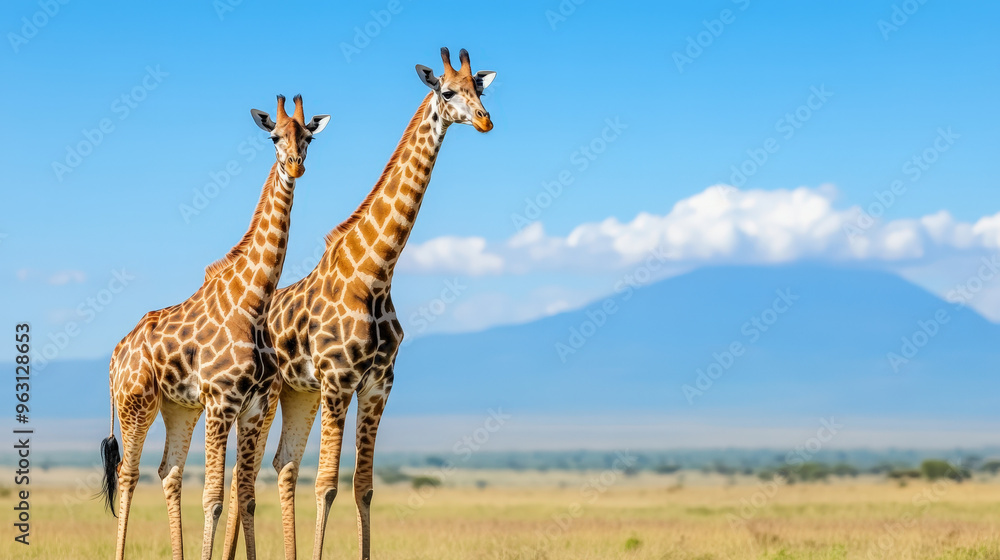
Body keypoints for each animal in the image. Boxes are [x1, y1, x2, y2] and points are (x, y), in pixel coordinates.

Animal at [98, 95, 330, 560]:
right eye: (273, 136)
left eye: (309, 136)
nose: (294, 165)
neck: (254, 303)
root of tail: (114, 357)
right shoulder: (221, 402)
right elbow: (213, 497)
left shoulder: (253, 407)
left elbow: (245, 494)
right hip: (136, 404)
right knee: (128, 475)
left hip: (178, 408)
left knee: (168, 470)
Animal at [261, 47, 496, 560]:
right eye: (447, 91)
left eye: (481, 89)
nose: (485, 121)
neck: (374, 273)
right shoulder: (337, 381)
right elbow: (326, 484)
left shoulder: (378, 385)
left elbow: (363, 486)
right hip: (264, 395)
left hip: (297, 393)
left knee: (281, 464)